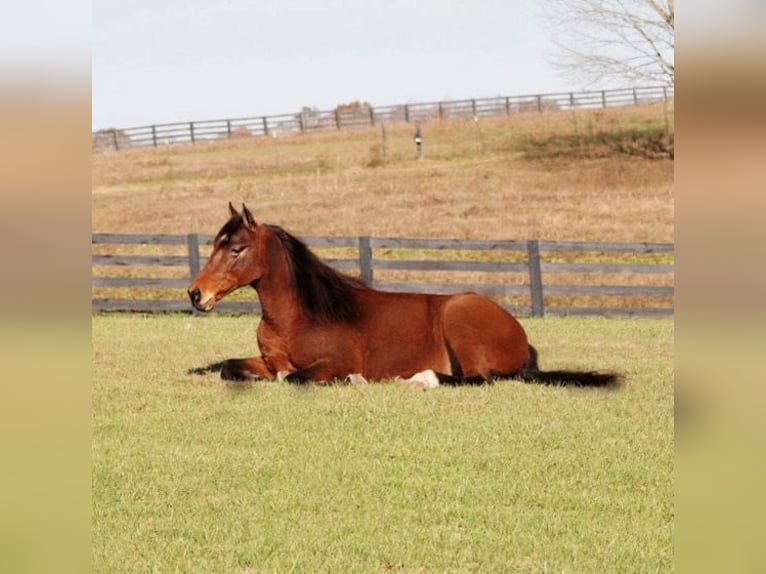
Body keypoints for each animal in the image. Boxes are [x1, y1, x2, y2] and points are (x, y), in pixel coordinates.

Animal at [189, 205, 620, 390]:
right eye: (214, 244)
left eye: (237, 249)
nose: (196, 293)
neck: (300, 316)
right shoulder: (266, 361)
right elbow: (232, 367)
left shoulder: (329, 363)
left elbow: (296, 377)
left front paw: (353, 380)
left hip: (459, 319)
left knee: (477, 380)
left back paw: (421, 378)